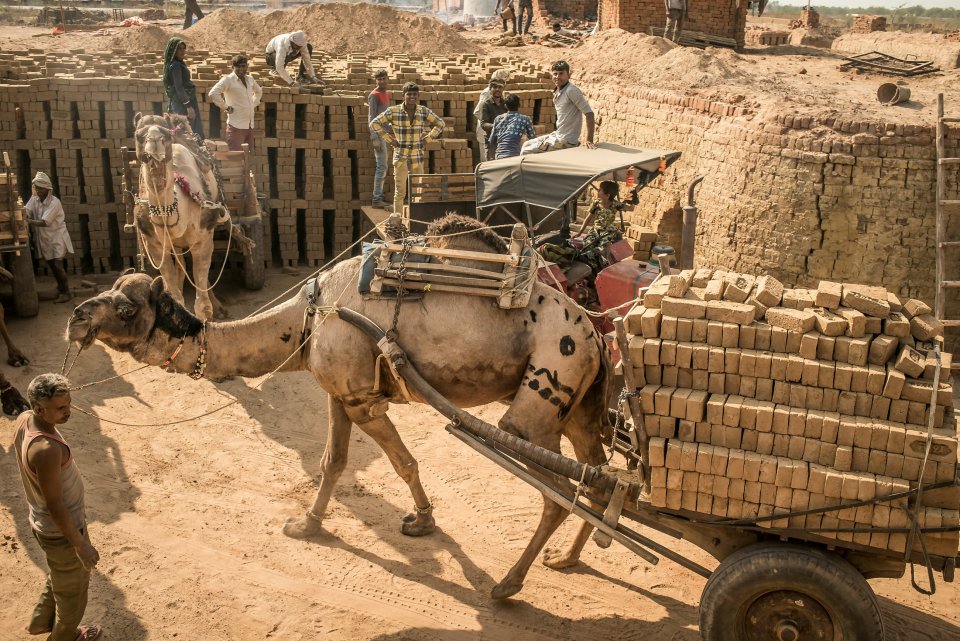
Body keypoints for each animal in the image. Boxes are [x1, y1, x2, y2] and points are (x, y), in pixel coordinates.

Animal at [67, 220, 612, 600]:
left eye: (125, 308)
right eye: (110, 290)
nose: (75, 317)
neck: (307, 318)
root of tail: (595, 333)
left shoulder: (362, 400)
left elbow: (403, 461)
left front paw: (422, 522)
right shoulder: (338, 394)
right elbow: (332, 463)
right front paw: (305, 526)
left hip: (542, 394)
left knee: (557, 489)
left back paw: (508, 585)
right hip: (579, 407)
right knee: (598, 476)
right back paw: (566, 559)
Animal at [131, 114, 231, 320]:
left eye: (167, 134)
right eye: (138, 135)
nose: (154, 142)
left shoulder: (203, 238)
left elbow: (203, 305)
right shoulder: (154, 245)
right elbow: (176, 295)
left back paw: (219, 308)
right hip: (175, 244)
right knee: (181, 264)